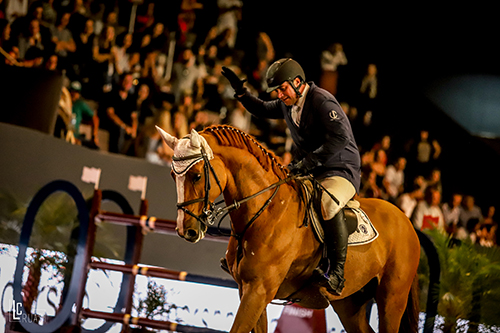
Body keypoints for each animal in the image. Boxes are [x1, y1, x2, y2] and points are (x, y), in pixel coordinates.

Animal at [155, 124, 418, 332]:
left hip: (391, 300)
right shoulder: (248, 290)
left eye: (197, 176)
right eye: (172, 176)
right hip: (349, 303)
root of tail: (407, 223)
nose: (186, 230)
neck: (266, 211)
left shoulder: (259, 290)